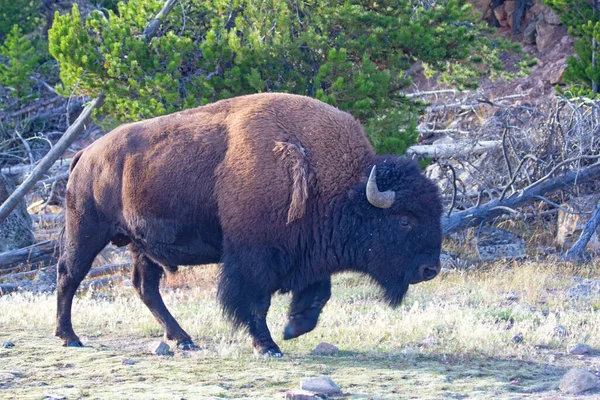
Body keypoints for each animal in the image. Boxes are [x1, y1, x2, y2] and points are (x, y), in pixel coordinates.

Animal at [55, 92, 440, 354]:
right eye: (404, 220)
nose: (430, 270)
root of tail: (85, 154)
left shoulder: (309, 256)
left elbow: (319, 294)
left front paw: (293, 327)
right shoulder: (252, 257)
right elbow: (256, 301)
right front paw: (267, 345)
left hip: (141, 246)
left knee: (144, 287)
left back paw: (183, 339)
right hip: (87, 231)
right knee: (69, 274)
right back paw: (69, 337)